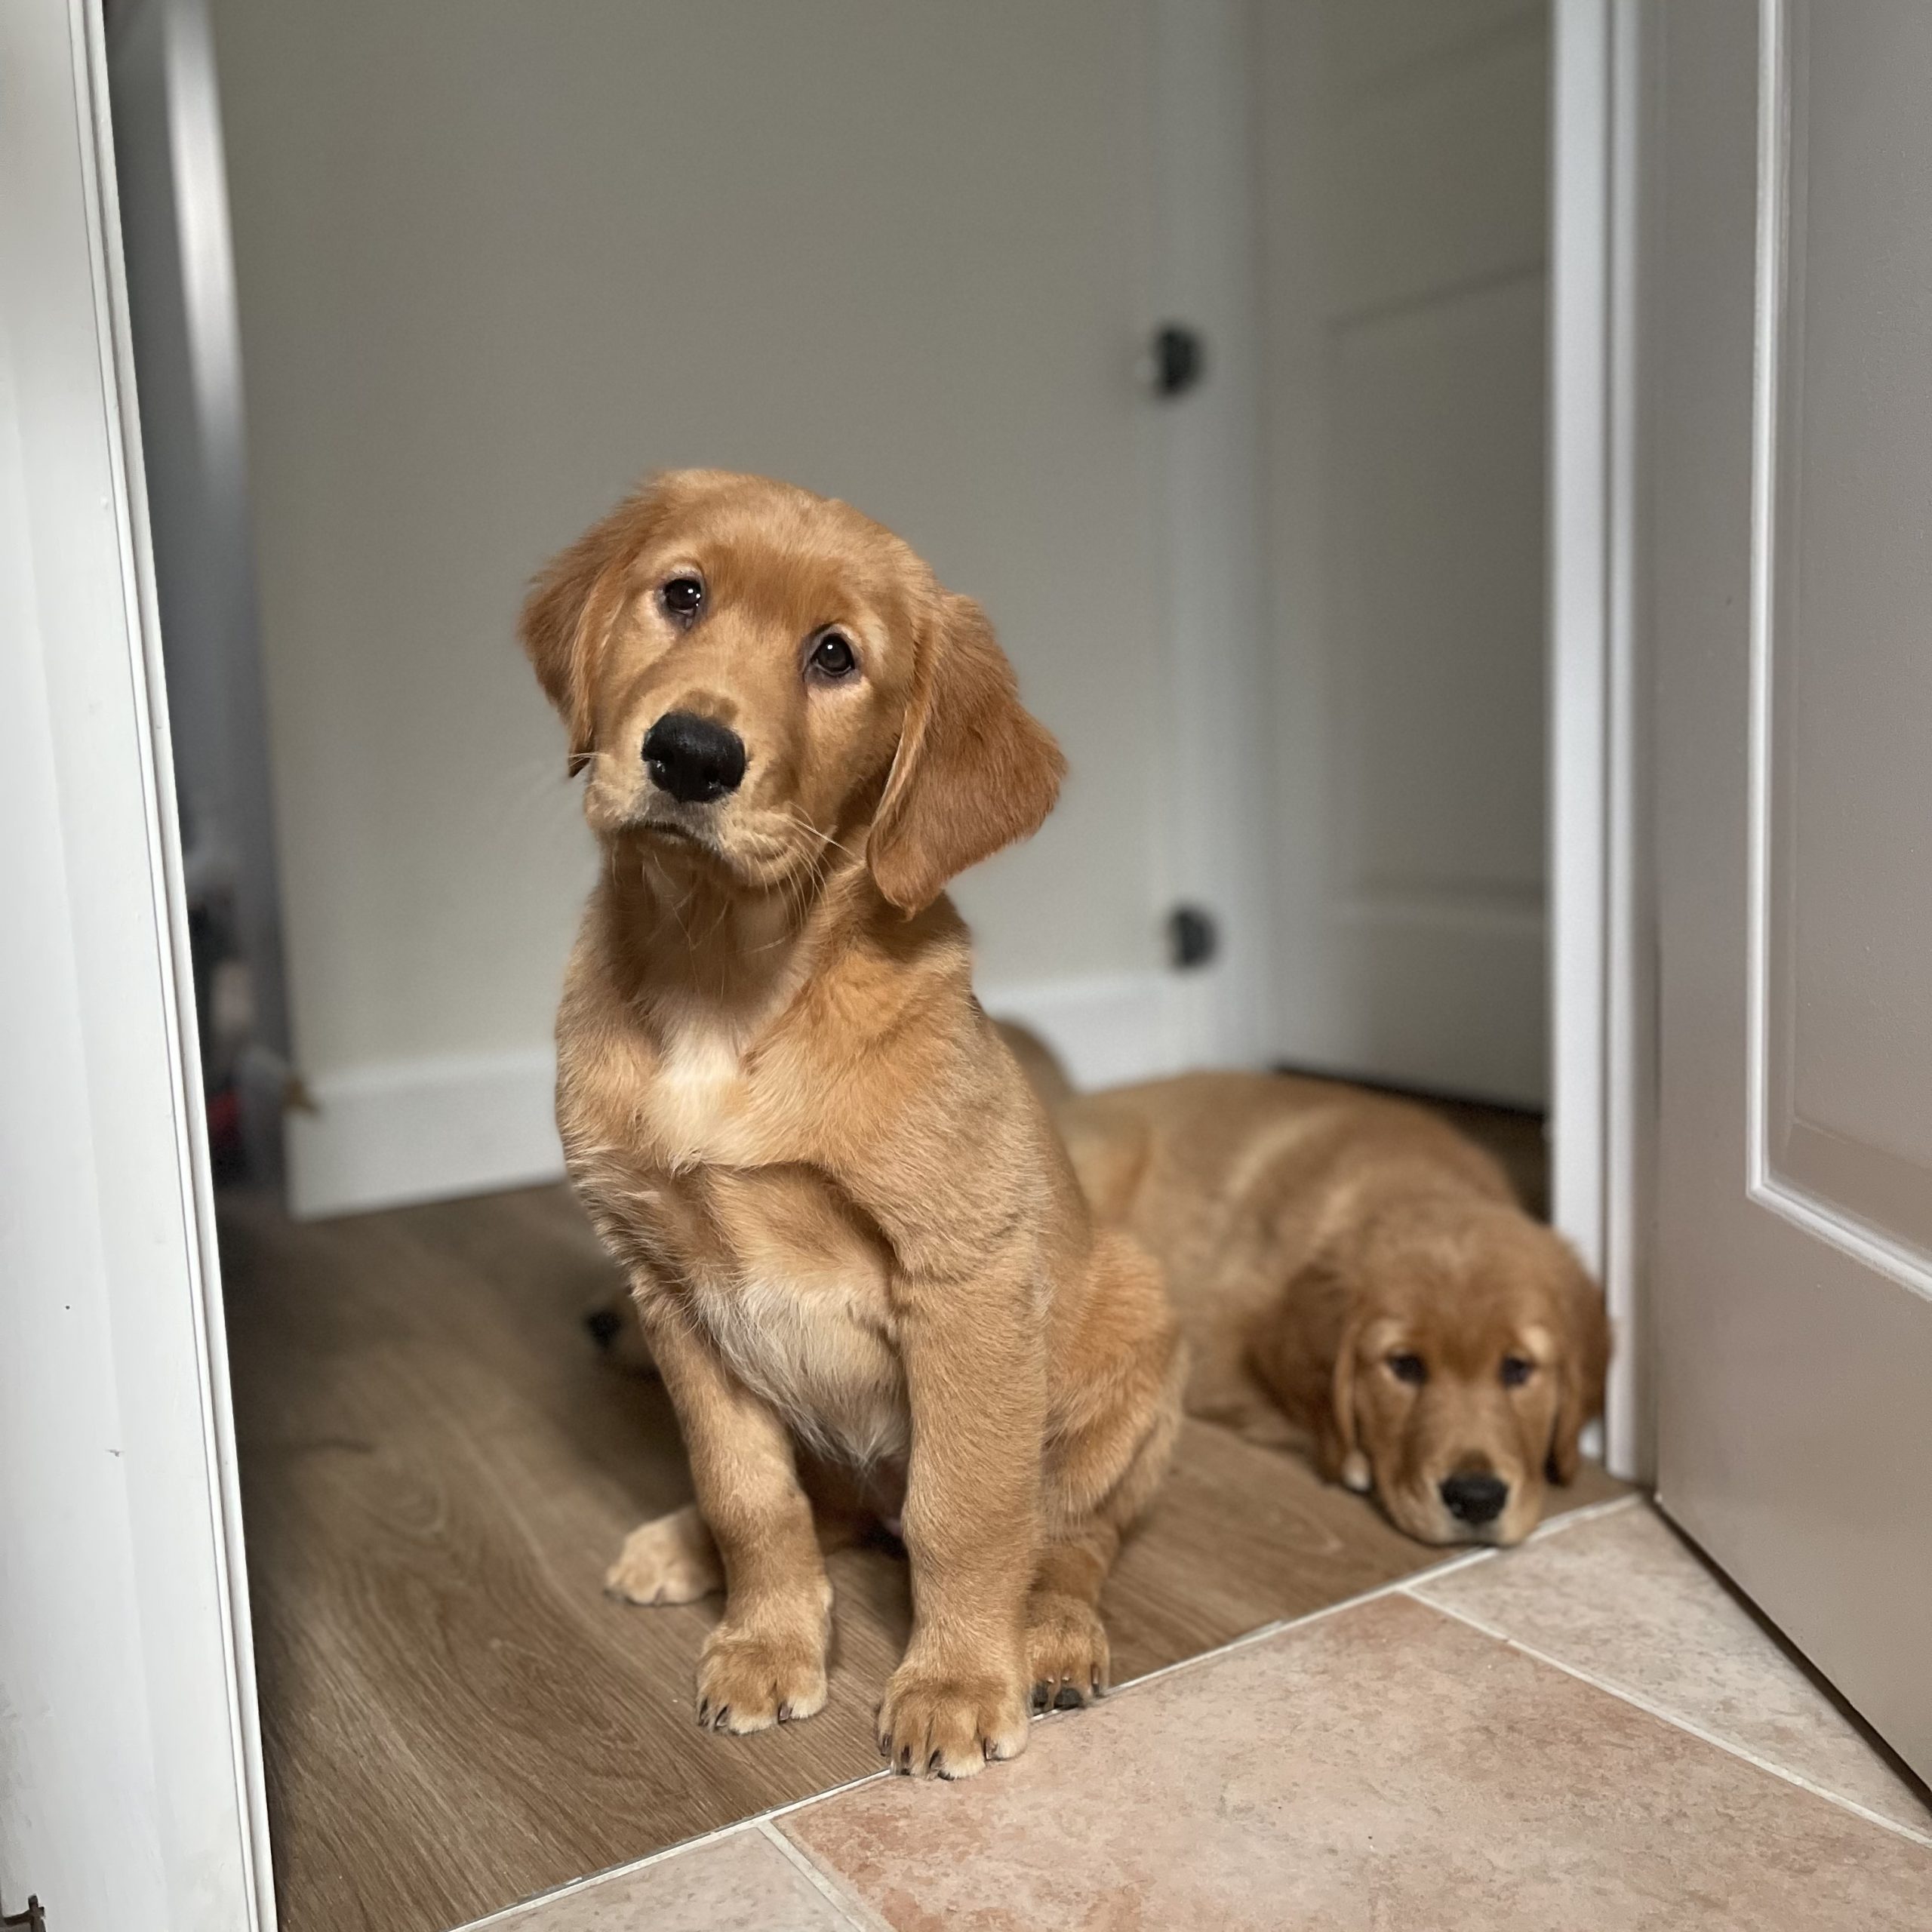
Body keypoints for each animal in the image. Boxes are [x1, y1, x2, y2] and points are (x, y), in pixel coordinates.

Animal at [520, 470, 1183, 1777]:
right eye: (682, 595)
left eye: (836, 656)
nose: (689, 754)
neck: (722, 978)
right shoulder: (667, 1280)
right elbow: (750, 1494)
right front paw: (769, 1642)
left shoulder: (963, 1281)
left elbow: (967, 1513)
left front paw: (959, 1680)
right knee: (818, 1502)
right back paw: (682, 1544)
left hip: (1137, 1333)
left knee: (1071, 1535)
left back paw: (1053, 1639)